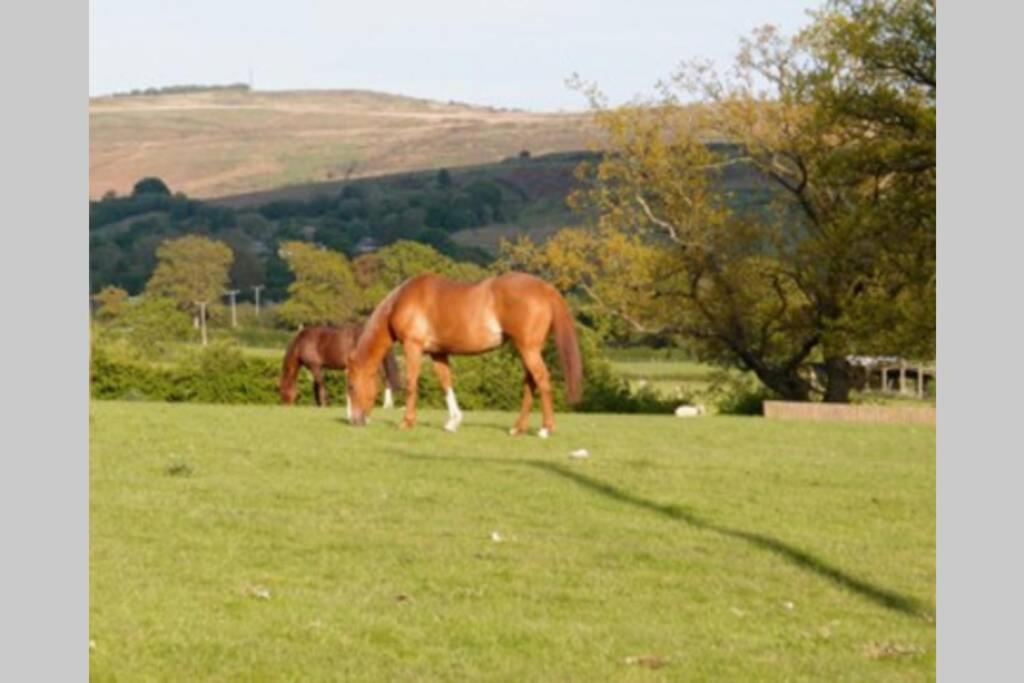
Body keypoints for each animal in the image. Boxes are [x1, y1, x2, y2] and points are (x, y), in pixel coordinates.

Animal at [346, 272, 581, 438]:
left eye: (351, 386)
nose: (355, 421)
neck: (402, 300)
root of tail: (545, 289)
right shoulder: (438, 353)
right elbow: (446, 383)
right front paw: (453, 421)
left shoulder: (413, 347)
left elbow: (412, 383)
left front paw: (406, 422)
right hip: (526, 350)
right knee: (530, 383)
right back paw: (518, 428)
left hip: (528, 348)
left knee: (542, 380)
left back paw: (545, 428)